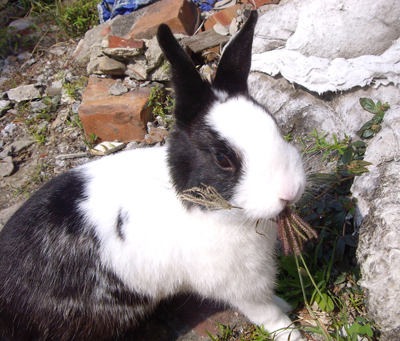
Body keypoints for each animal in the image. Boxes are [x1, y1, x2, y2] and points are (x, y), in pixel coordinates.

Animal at [0, 11, 304, 340]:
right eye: (222, 158)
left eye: (274, 124)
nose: (290, 191)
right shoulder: (241, 287)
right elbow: (266, 313)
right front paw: (290, 331)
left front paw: (286, 304)